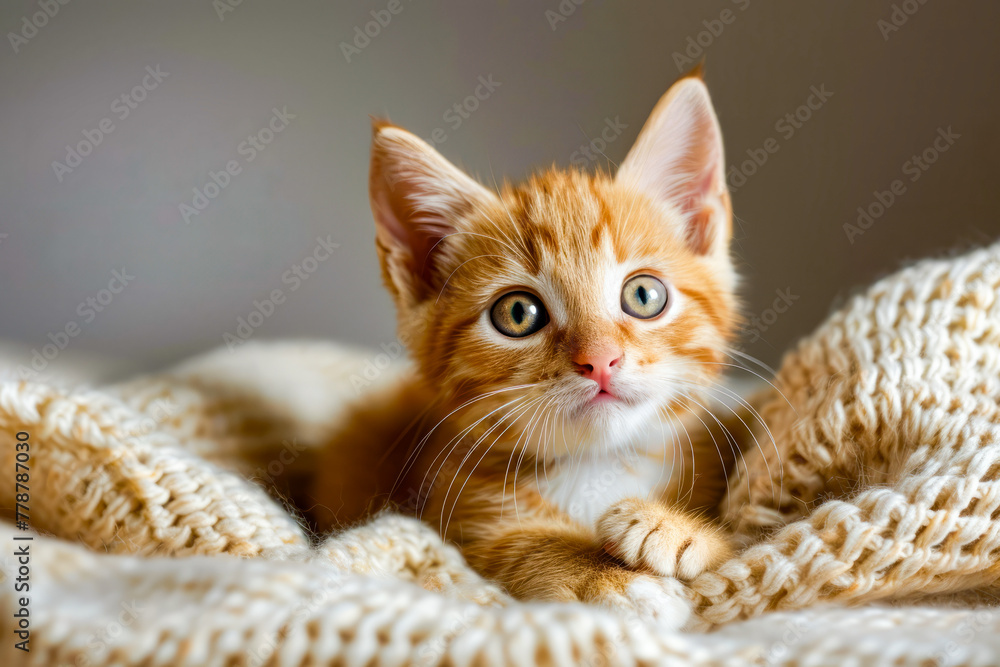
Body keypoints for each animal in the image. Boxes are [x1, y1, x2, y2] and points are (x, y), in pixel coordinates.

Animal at [316, 72, 740, 620]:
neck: (595, 464)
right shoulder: (459, 516)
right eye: (518, 314)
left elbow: (739, 543)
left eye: (644, 296)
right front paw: (609, 579)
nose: (599, 359)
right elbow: (519, 546)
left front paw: (675, 528)